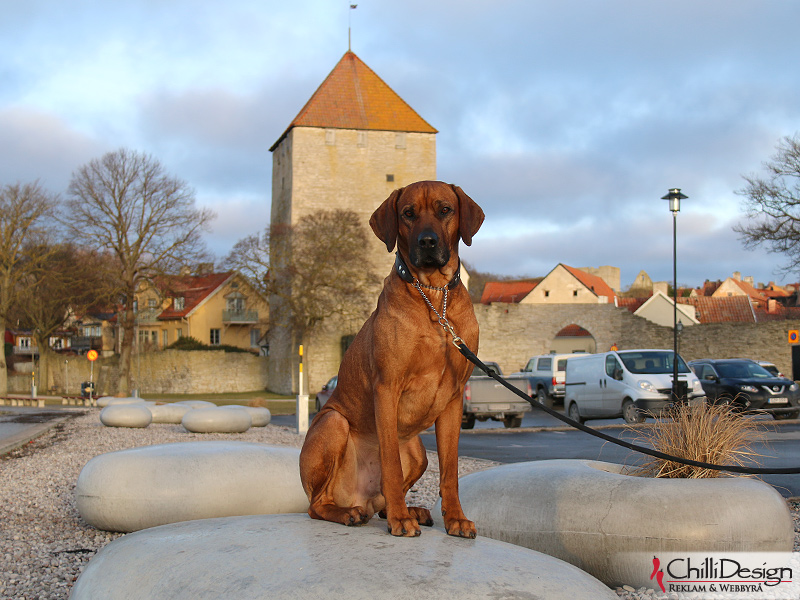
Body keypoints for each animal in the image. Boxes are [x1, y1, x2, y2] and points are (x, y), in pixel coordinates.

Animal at [300, 180, 484, 536]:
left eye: (445, 209)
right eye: (408, 214)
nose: (427, 242)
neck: (434, 295)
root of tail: (358, 495)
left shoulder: (454, 399)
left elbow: (450, 471)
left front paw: (454, 518)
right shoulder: (387, 388)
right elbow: (391, 466)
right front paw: (400, 519)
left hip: (418, 451)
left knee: (381, 499)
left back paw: (410, 510)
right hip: (333, 422)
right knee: (317, 505)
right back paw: (354, 513)